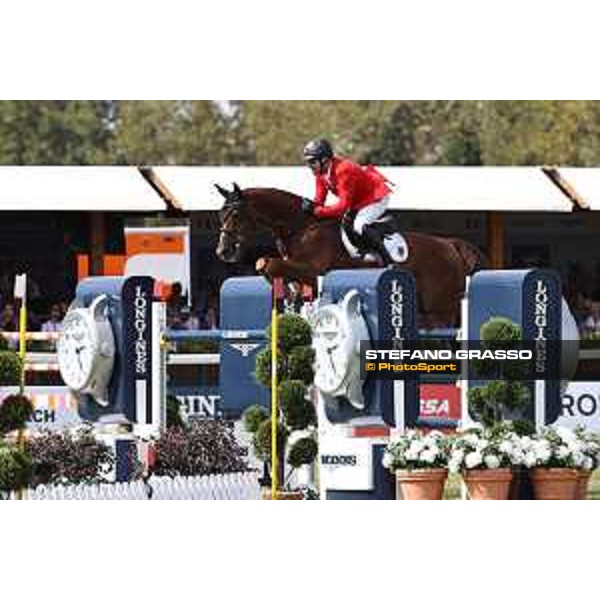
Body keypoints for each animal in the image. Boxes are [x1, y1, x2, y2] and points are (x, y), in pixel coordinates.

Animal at [213, 184, 486, 328]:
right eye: (220, 215)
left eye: (235, 214)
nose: (222, 251)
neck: (301, 228)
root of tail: (450, 245)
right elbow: (273, 269)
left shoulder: (314, 272)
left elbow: (267, 262)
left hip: (442, 309)